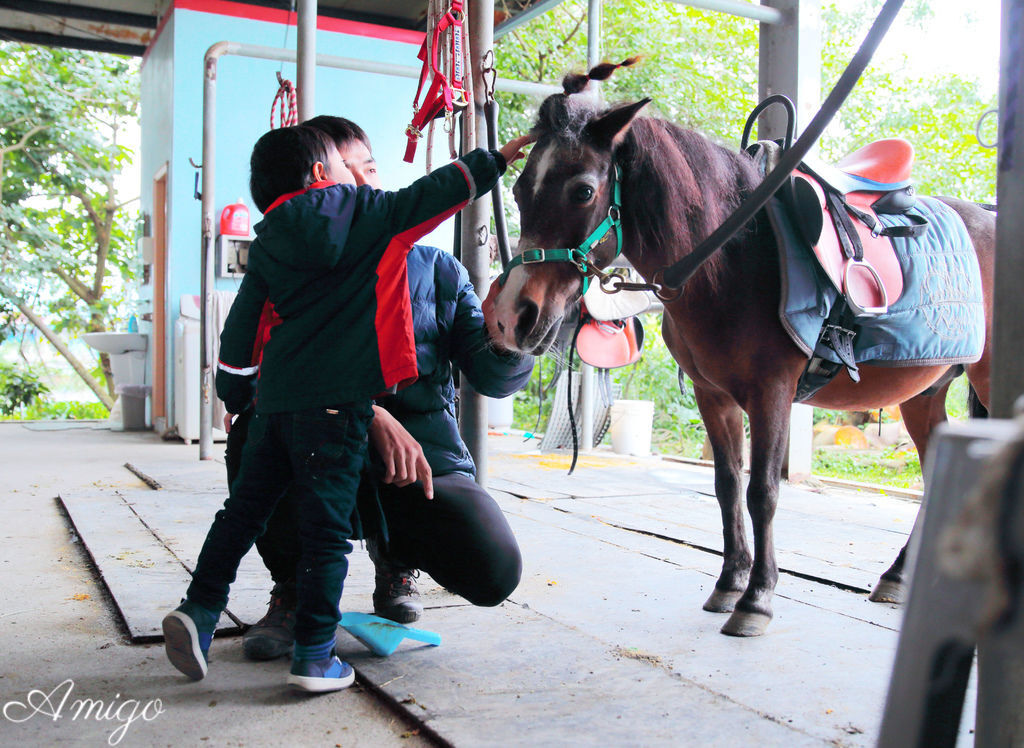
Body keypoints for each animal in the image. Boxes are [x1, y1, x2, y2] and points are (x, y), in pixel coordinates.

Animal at [487, 68, 991, 635]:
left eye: (583, 190)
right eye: (519, 189)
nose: (510, 315)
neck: (729, 260)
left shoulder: (772, 393)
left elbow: (762, 491)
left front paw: (758, 598)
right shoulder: (713, 396)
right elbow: (727, 486)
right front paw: (730, 583)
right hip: (925, 393)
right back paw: (898, 577)